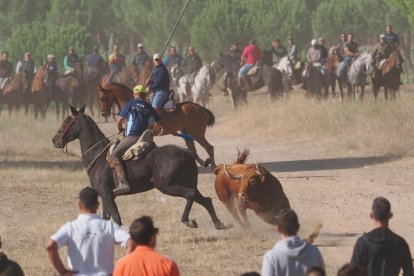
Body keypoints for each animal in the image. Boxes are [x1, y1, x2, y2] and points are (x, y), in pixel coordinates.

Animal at [51, 105, 231, 231]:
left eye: (66, 122)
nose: (55, 140)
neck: (99, 156)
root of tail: (186, 152)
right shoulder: (105, 195)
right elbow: (106, 218)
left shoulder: (107, 194)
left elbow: (116, 218)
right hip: (187, 181)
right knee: (205, 200)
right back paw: (219, 224)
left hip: (167, 186)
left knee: (190, 195)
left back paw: (188, 220)